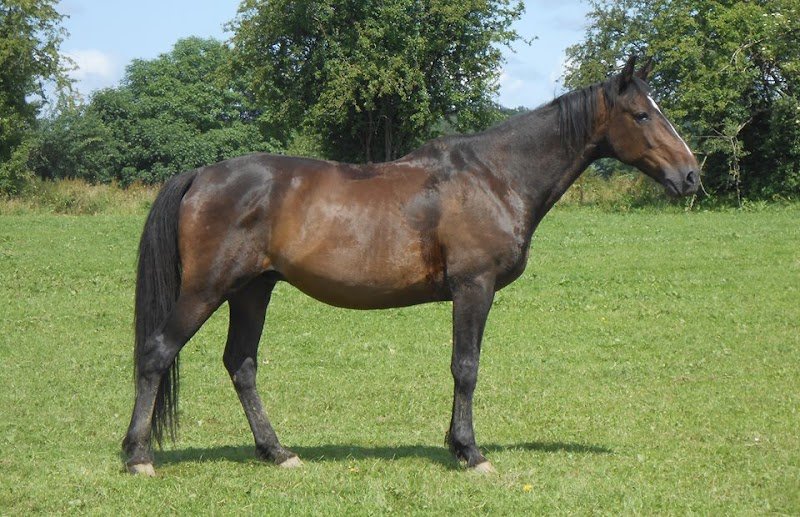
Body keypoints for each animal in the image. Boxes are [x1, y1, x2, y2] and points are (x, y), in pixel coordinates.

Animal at [122, 56, 699, 476]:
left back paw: (277, 452)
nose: (692, 175)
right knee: (157, 353)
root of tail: (200, 174)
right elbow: (465, 368)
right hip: (208, 288)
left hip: (253, 289)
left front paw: (458, 446)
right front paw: (470, 452)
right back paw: (139, 457)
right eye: (643, 115)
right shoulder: (474, 288)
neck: (495, 176)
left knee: (241, 364)